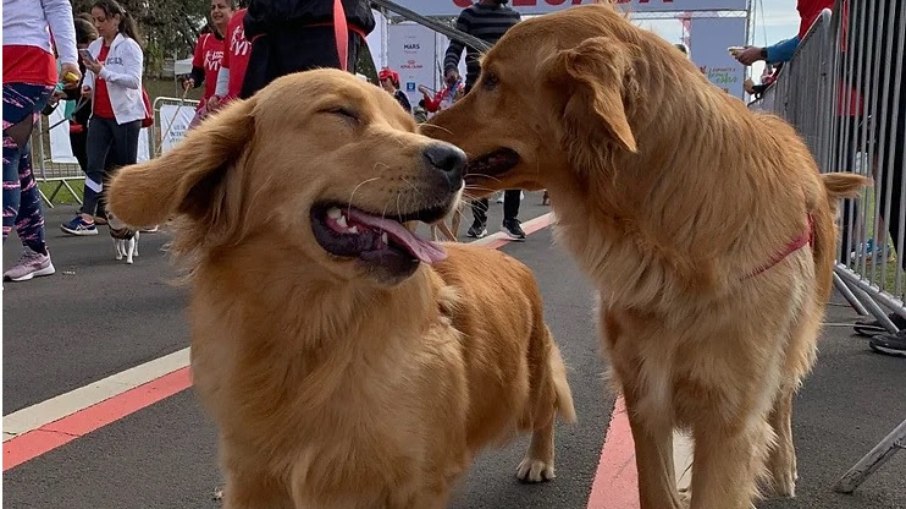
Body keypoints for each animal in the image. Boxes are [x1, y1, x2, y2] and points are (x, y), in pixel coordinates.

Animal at [106, 68, 572, 508]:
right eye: (340, 112)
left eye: (410, 125)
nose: (456, 161)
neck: (313, 330)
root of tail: (510, 262)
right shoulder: (253, 474)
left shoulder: (413, 482)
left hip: (526, 390)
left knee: (548, 408)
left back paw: (538, 459)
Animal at [424, 3, 868, 508]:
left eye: (493, 80)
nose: (419, 134)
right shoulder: (644, 394)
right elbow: (656, 487)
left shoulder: (728, 417)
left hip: (793, 341)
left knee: (783, 398)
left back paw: (784, 467)